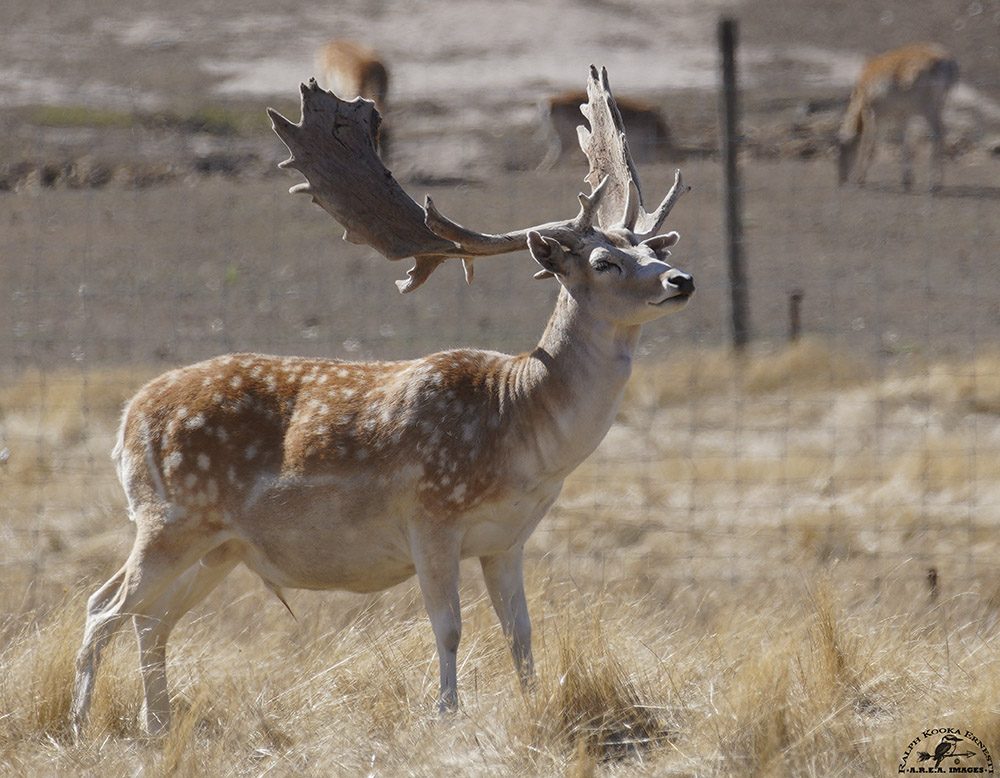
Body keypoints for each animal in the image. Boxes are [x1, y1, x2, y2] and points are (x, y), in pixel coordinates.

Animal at [836, 43, 960, 192]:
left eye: (842, 148)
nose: (841, 179)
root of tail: (945, 60)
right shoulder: (902, 116)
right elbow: (904, 143)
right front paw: (907, 181)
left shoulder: (871, 114)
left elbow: (869, 145)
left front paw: (860, 179)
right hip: (939, 105)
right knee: (941, 132)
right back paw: (936, 183)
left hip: (927, 108)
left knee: (937, 134)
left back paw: (932, 185)